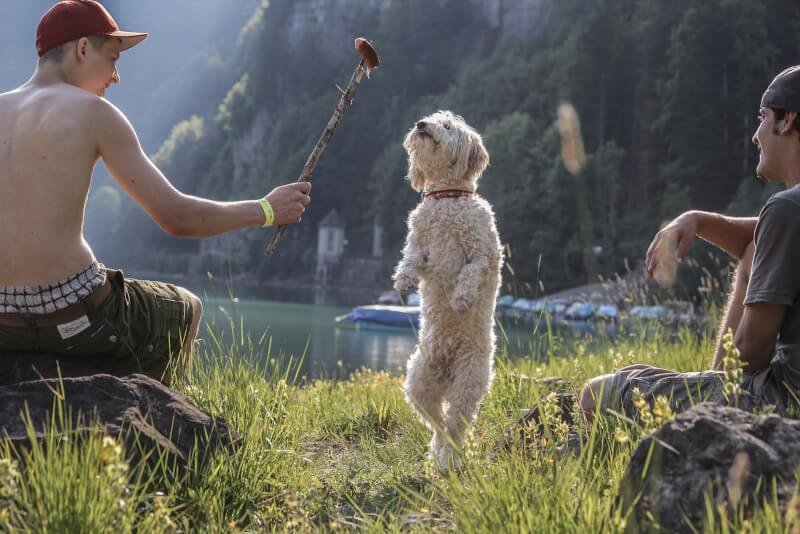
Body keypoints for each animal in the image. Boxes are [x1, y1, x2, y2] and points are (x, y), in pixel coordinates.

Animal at [392, 111, 504, 472]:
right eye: (429, 119)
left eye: (447, 126)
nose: (421, 124)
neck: (447, 197)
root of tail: (446, 367)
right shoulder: (421, 244)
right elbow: (411, 257)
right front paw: (403, 281)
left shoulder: (483, 253)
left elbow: (470, 272)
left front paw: (461, 299)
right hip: (419, 382)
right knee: (437, 422)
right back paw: (438, 453)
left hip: (468, 382)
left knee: (455, 424)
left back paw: (448, 460)